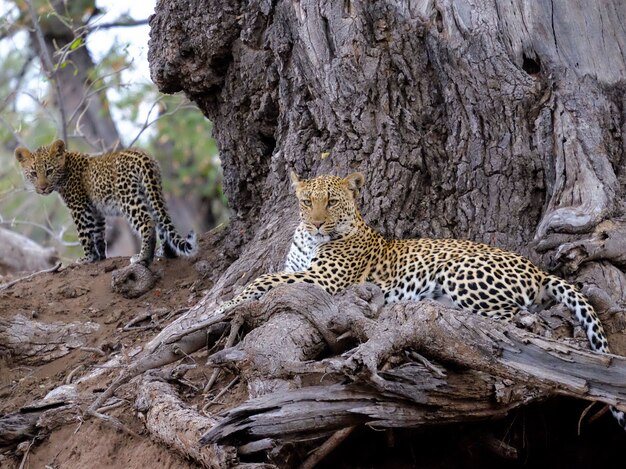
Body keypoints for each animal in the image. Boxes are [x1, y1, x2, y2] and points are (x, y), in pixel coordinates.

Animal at [15, 137, 195, 266]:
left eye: (49, 171)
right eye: (33, 173)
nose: (42, 188)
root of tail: (143, 157)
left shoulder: (79, 208)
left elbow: (84, 234)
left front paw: (87, 258)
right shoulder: (95, 210)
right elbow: (98, 233)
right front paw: (100, 257)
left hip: (128, 198)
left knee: (148, 222)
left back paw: (142, 258)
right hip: (152, 192)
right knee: (161, 221)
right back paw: (166, 253)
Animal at [217, 171, 620, 428]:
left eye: (330, 202)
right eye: (306, 202)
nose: (316, 224)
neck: (309, 238)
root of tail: (536, 269)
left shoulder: (324, 279)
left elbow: (262, 278)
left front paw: (226, 305)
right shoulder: (303, 269)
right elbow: (269, 274)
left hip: (459, 272)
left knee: (519, 319)